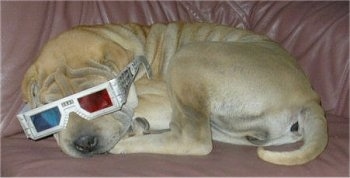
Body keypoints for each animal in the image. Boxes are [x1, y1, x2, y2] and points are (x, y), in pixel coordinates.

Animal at [21, 22, 328, 165]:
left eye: (97, 99)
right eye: (49, 113)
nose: (84, 143)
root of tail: (310, 97)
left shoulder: (162, 99)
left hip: (189, 57)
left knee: (194, 140)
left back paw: (128, 141)